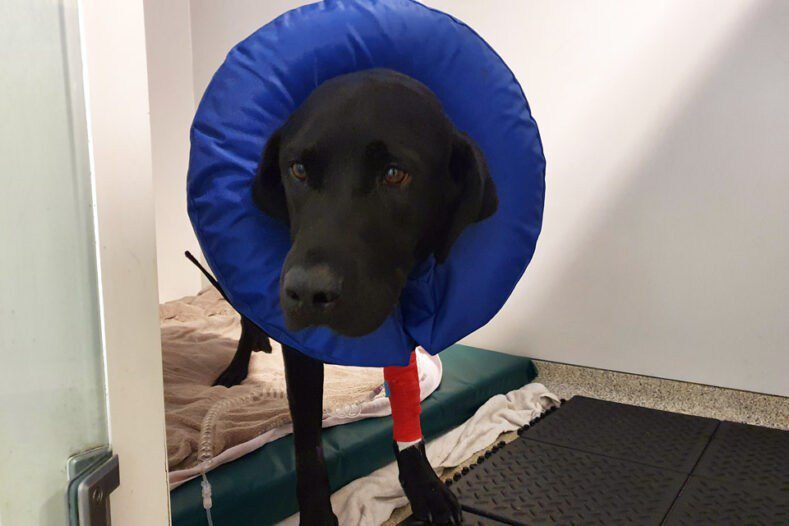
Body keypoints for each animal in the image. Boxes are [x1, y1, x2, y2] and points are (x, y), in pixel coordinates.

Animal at [212, 70, 496, 526]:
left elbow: (406, 412)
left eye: (395, 174)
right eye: (298, 169)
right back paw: (237, 366)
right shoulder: (301, 355)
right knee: (244, 318)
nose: (306, 292)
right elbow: (308, 443)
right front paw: (317, 517)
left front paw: (424, 486)